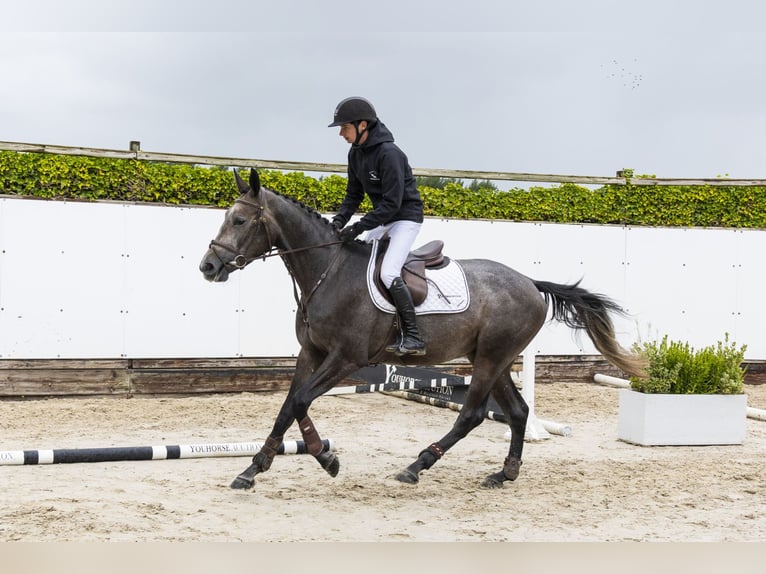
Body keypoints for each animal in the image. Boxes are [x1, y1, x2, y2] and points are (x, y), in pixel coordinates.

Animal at [199, 169, 645, 490]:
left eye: (240, 220)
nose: (208, 266)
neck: (328, 272)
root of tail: (530, 284)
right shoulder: (312, 352)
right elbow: (290, 406)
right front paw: (258, 468)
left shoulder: (346, 358)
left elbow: (299, 401)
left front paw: (324, 459)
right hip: (492, 358)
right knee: (517, 411)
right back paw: (504, 473)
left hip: (491, 358)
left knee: (472, 413)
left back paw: (417, 465)